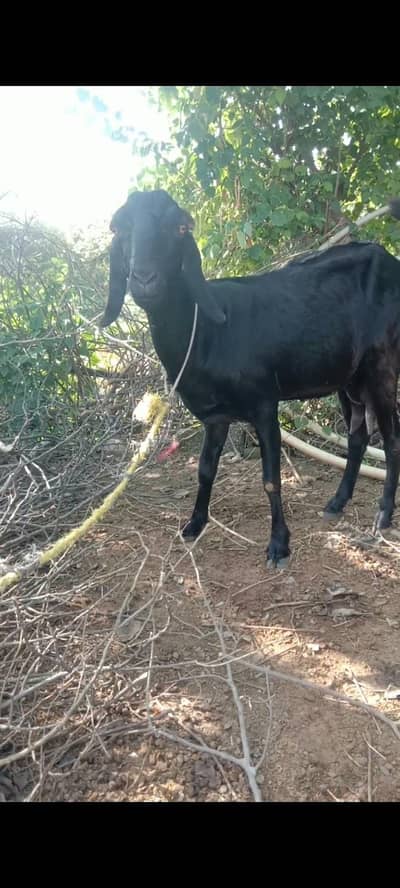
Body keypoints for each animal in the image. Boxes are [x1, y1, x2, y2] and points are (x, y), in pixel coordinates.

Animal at [100, 188, 400, 568]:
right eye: (117, 228)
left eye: (181, 228)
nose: (144, 280)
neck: (208, 331)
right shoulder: (215, 416)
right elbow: (205, 469)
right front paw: (194, 523)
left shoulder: (264, 405)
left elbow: (271, 479)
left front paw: (279, 545)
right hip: (348, 379)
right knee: (358, 436)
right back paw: (336, 503)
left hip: (382, 367)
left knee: (391, 440)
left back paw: (384, 515)